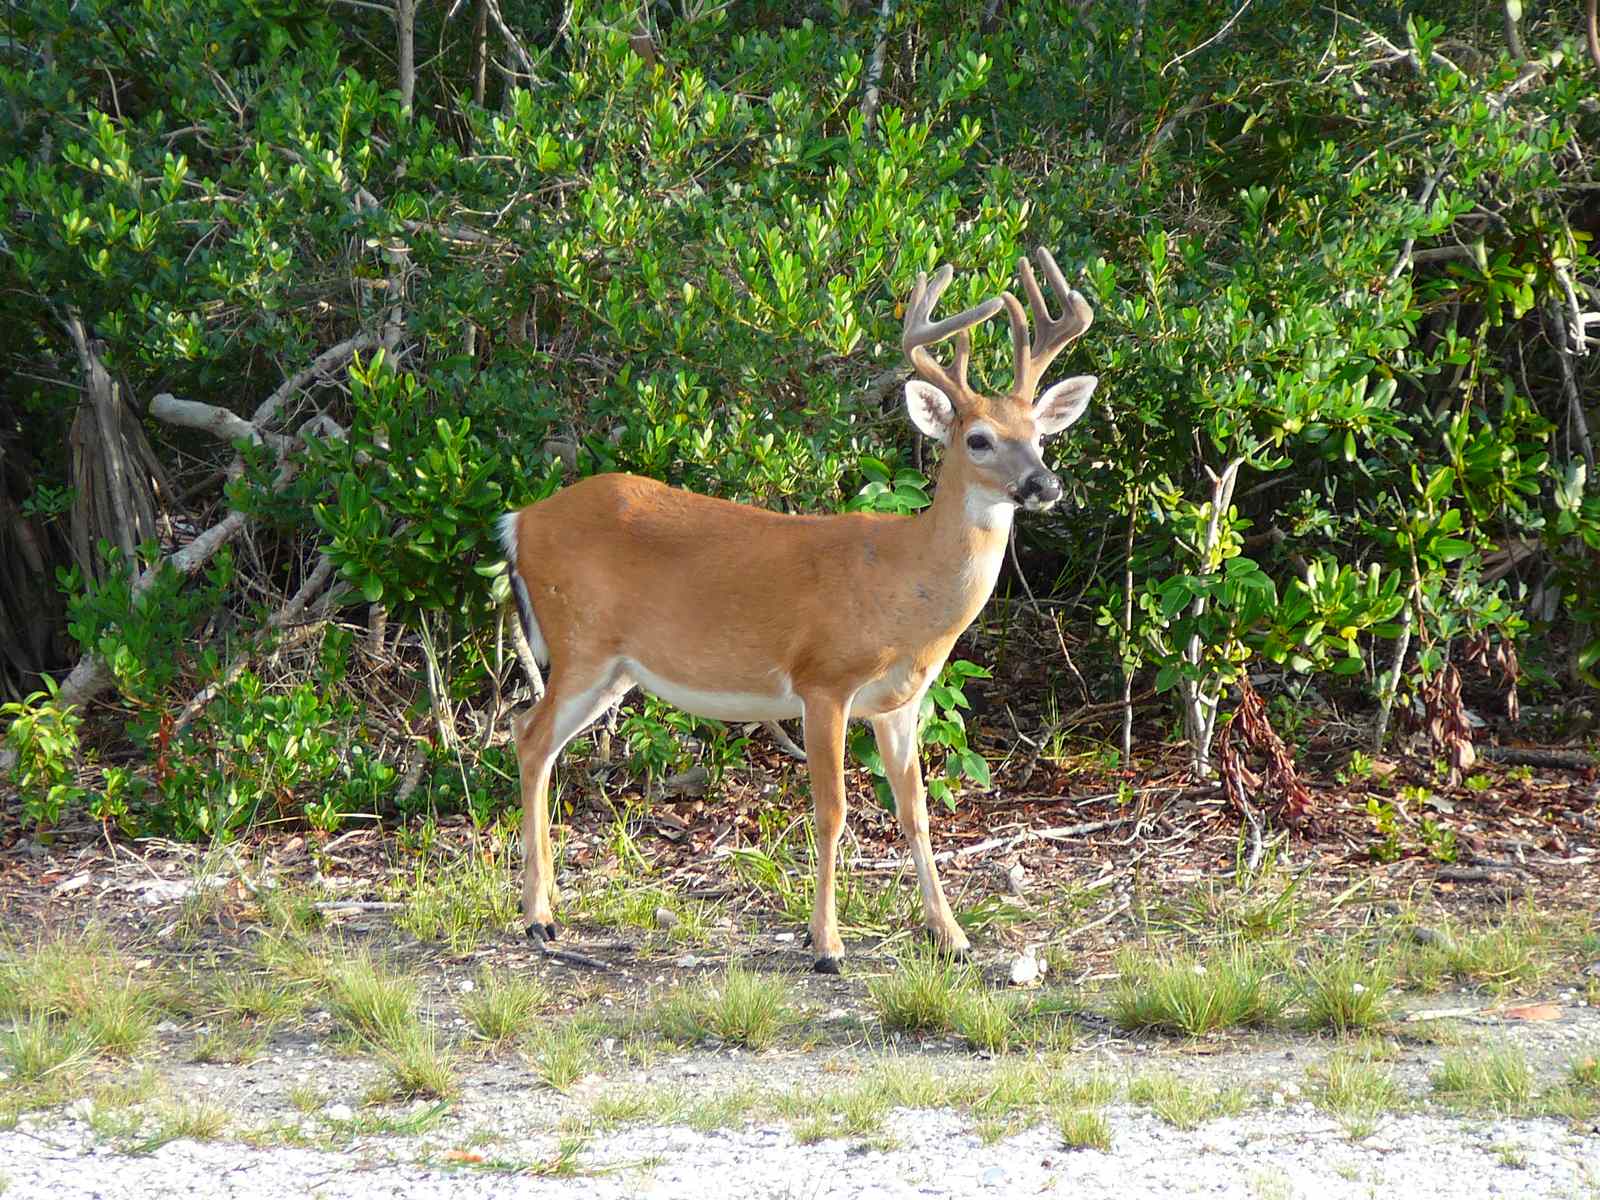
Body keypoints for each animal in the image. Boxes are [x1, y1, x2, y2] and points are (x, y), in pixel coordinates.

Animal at [499, 249, 1097, 973]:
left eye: (1039, 435)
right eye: (978, 439)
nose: (1044, 484)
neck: (904, 585)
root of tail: (518, 521)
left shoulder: (900, 702)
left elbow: (916, 811)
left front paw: (951, 935)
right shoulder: (824, 680)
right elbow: (832, 810)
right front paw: (827, 945)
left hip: (613, 668)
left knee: (535, 739)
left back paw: (548, 909)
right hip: (581, 642)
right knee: (529, 736)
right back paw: (537, 918)